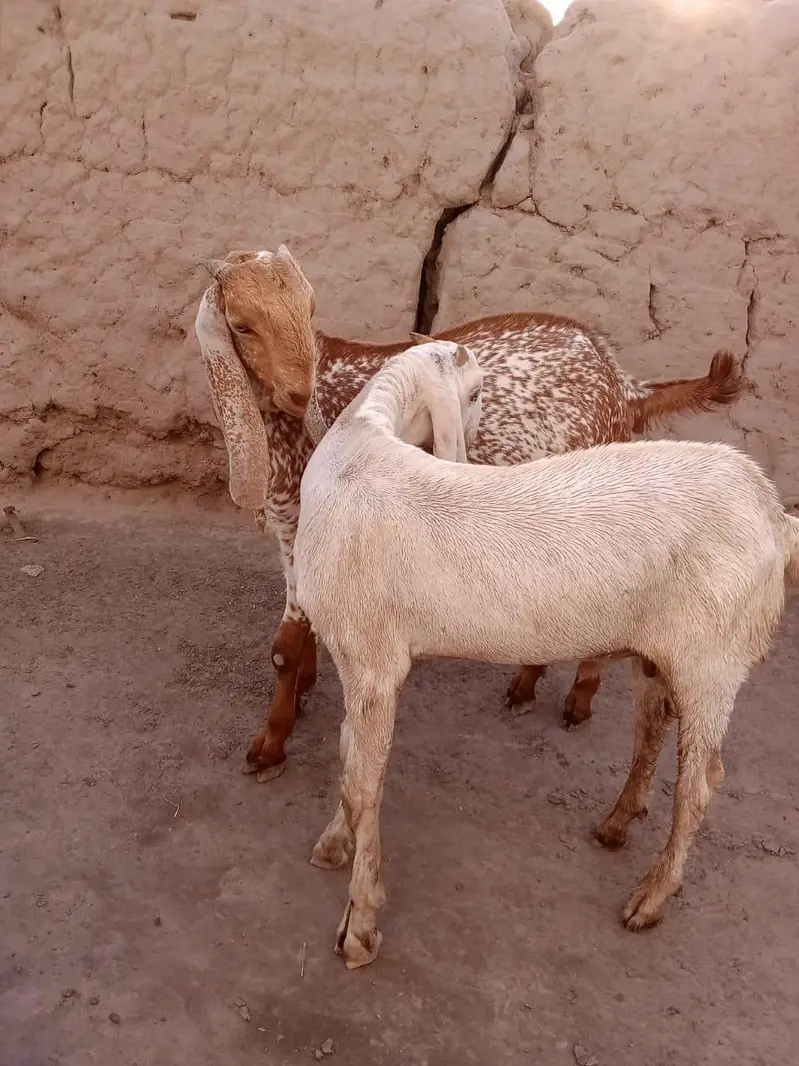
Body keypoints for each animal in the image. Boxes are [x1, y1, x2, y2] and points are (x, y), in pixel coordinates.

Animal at [195, 247, 745, 781]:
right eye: (242, 325)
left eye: (309, 309)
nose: (300, 393)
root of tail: (621, 381)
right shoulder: (296, 528)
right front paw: (303, 693)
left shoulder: (301, 525)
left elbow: (284, 647)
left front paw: (270, 745)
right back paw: (528, 686)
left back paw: (575, 698)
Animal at [293, 341, 799, 969]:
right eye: (475, 391)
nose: (475, 440)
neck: (358, 442)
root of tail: (774, 514)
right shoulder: (357, 661)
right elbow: (347, 763)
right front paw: (334, 843)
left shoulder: (373, 661)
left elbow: (363, 787)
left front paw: (359, 926)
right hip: (661, 650)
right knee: (651, 730)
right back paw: (617, 823)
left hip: (715, 657)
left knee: (700, 784)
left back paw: (652, 897)